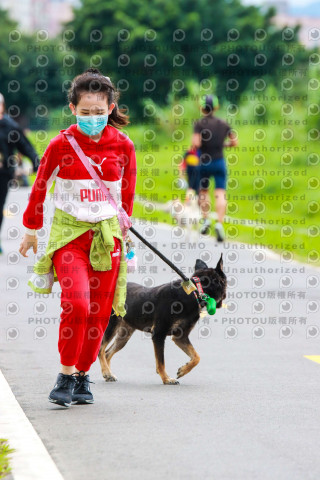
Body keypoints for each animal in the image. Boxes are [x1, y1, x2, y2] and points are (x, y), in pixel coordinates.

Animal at [99, 253, 226, 384]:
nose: (224, 298)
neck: (194, 291)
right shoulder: (158, 334)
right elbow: (161, 362)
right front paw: (166, 379)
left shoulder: (180, 337)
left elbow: (197, 357)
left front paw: (183, 370)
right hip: (111, 326)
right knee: (101, 350)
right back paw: (106, 372)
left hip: (124, 334)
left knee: (107, 353)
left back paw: (108, 374)